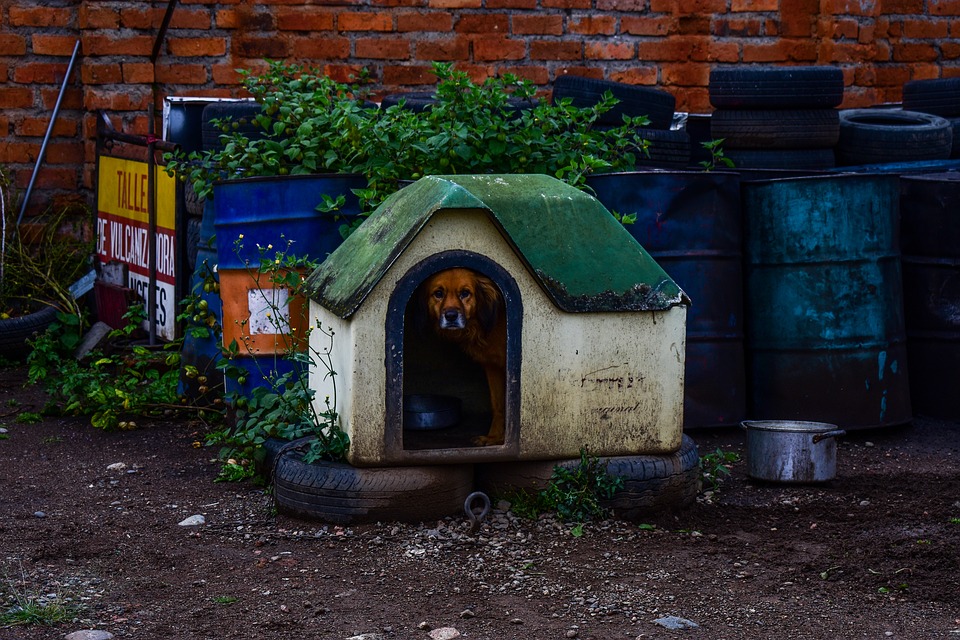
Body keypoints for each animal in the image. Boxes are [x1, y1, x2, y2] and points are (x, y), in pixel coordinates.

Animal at [422, 268, 506, 444]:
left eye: (465, 293)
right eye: (438, 293)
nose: (451, 316)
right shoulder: (493, 366)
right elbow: (498, 404)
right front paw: (494, 437)